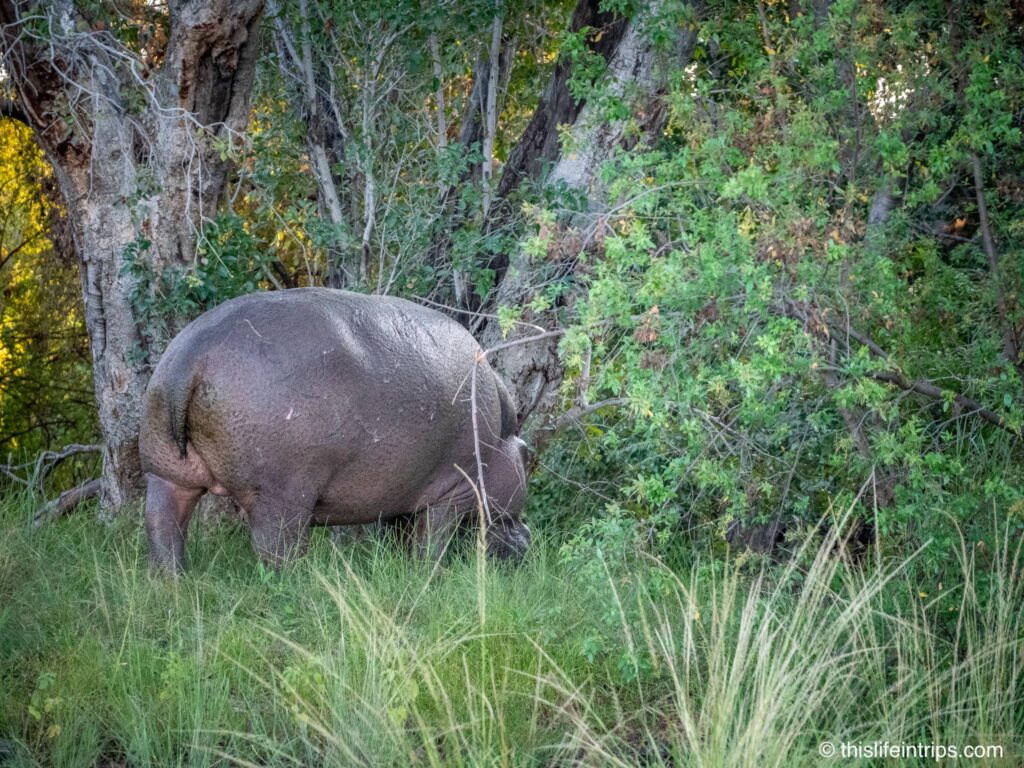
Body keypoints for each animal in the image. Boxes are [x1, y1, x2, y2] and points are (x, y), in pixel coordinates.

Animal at [139, 288, 530, 573]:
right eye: (527, 456)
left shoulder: (405, 490)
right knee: (276, 547)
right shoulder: (451, 492)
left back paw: (173, 582)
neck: (503, 440)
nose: (528, 537)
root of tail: (189, 359)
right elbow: (432, 541)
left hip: (165, 470)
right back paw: (296, 584)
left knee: (164, 525)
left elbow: (402, 534)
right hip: (279, 494)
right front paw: (429, 575)